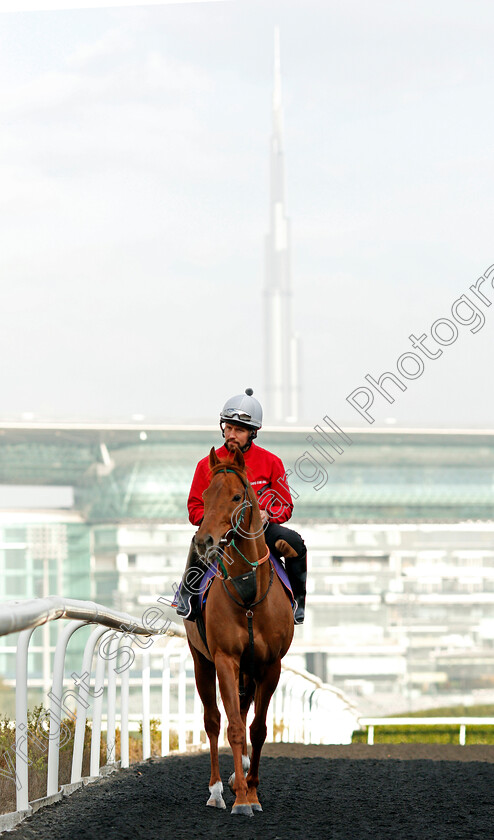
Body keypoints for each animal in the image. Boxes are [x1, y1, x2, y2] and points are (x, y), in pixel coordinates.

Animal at [184, 446, 294, 812]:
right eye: (204, 496)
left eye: (236, 496)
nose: (204, 540)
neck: (248, 595)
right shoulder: (225, 659)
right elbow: (232, 727)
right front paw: (242, 799)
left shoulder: (270, 664)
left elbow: (257, 729)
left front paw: (252, 790)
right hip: (201, 662)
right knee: (214, 720)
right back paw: (219, 789)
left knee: (245, 714)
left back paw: (238, 777)